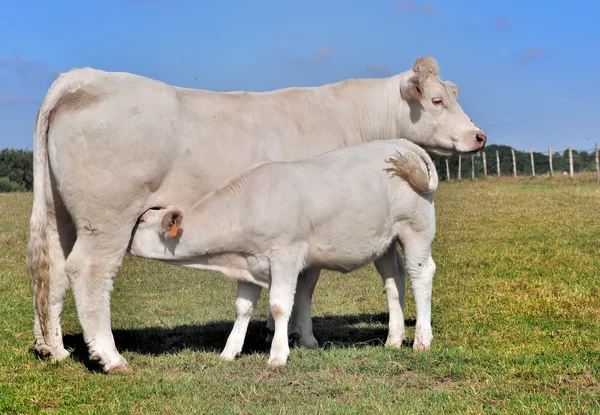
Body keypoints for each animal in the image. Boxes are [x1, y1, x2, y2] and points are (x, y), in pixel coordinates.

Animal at [129, 139, 438, 368]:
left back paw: (421, 340)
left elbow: (279, 305)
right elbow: (242, 308)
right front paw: (229, 351)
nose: (124, 237)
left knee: (420, 274)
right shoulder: (248, 263)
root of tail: (399, 142)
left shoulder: (285, 255)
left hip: (416, 227)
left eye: (141, 220)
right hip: (384, 242)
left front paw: (278, 355)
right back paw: (393, 339)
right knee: (393, 280)